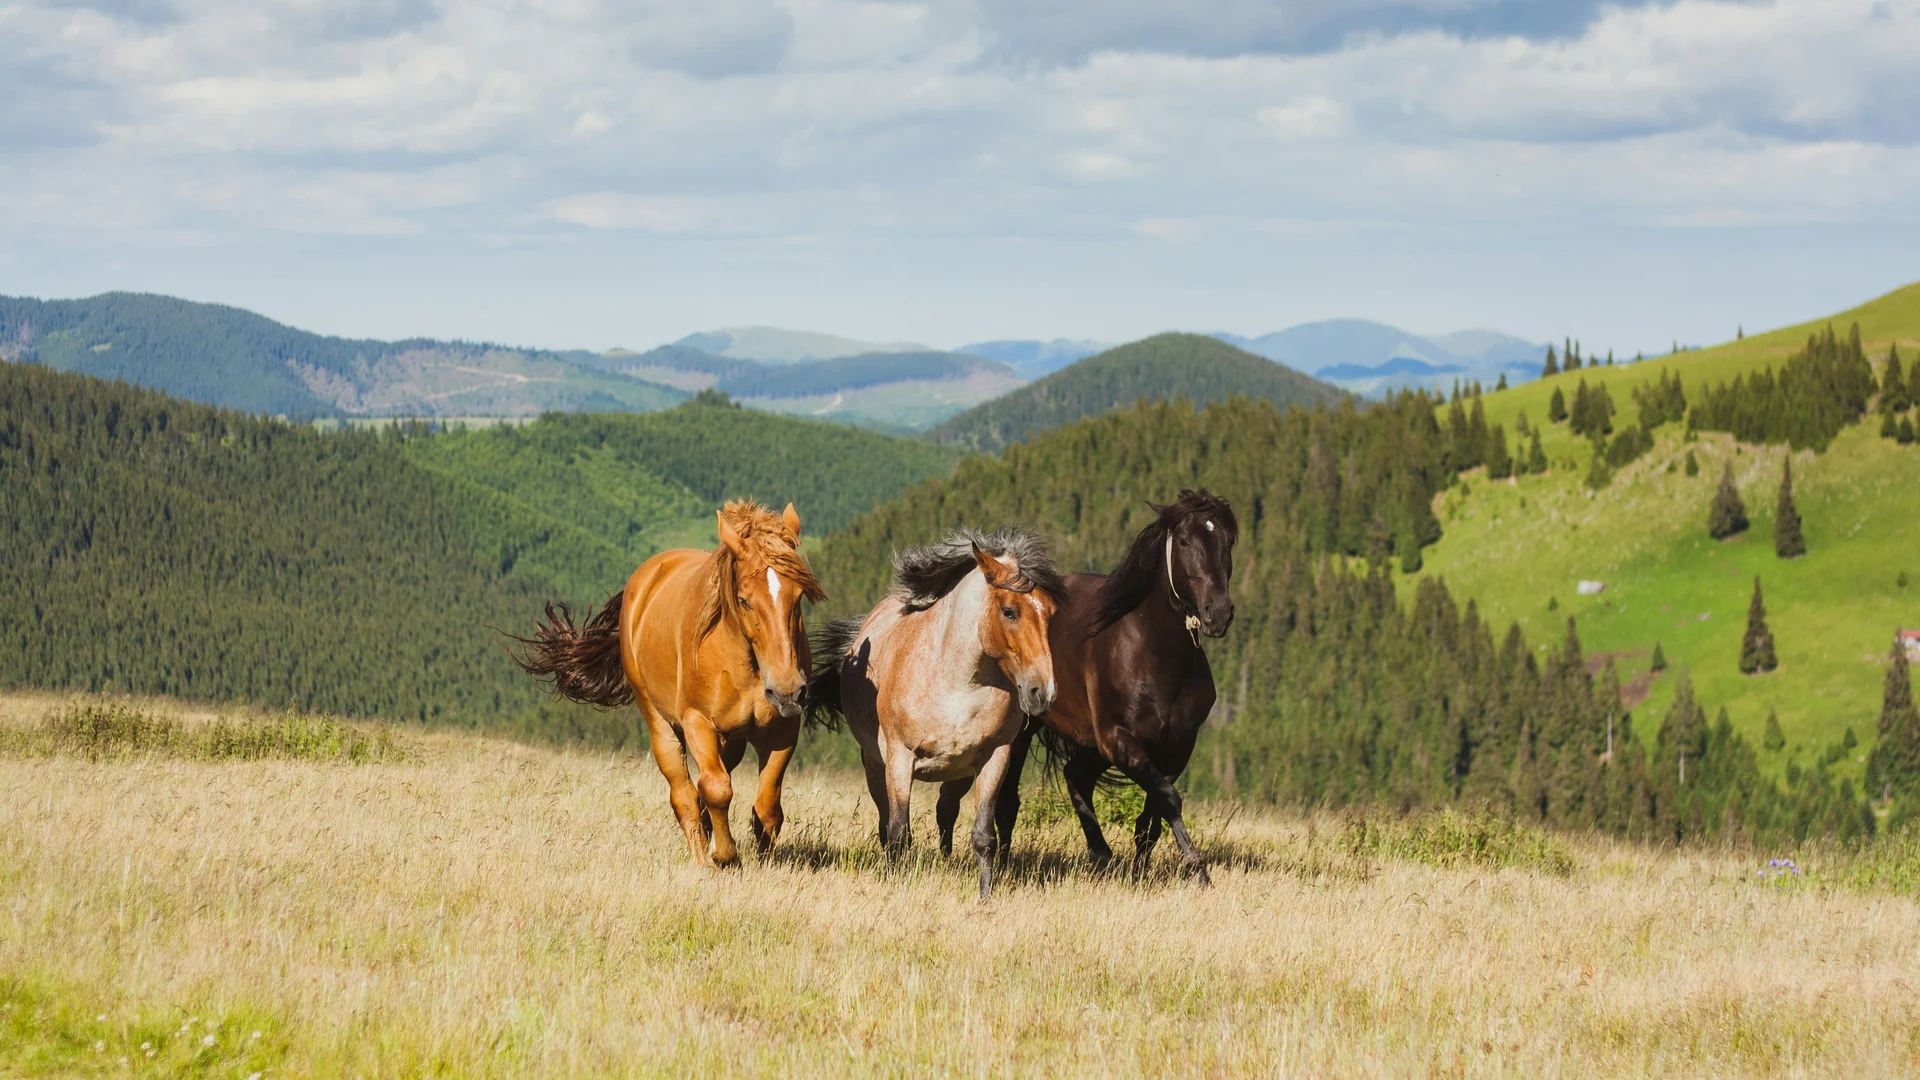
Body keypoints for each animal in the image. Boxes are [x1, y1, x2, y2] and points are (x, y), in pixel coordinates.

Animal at [511, 499, 825, 867]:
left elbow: (767, 807)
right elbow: (716, 788)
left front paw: (765, 861)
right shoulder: (697, 722)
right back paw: (702, 855)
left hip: (732, 739)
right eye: (745, 600)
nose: (788, 690)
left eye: (799, 595)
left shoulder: (782, 731)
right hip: (660, 721)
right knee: (685, 793)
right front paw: (724, 855)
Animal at [809, 526, 1065, 897]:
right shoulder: (899, 760)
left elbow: (983, 835)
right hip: (875, 767)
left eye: (1050, 612)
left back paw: (946, 861)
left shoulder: (995, 758)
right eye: (1009, 611)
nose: (1042, 693)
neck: (956, 685)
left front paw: (985, 895)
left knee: (946, 810)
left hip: (958, 774)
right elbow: (898, 833)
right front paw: (895, 885)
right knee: (888, 823)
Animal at [941, 490, 1237, 885]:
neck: (1155, 653)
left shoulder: (1177, 747)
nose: (1218, 613)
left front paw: (1141, 871)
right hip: (1026, 733)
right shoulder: (1118, 740)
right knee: (1009, 802)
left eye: (1228, 541)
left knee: (1074, 776)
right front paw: (1197, 866)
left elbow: (1153, 815)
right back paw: (1003, 864)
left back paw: (1100, 853)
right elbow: (1169, 799)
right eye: (1186, 541)